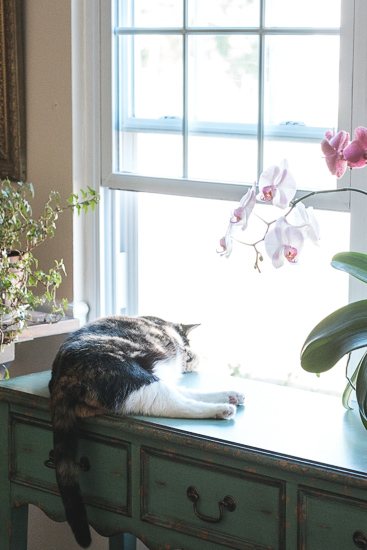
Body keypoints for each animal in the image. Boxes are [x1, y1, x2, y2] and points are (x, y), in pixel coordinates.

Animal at [48, 316, 244, 548]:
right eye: (187, 349)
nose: (188, 354)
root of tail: (63, 378)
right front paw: (194, 360)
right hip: (138, 381)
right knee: (176, 403)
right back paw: (222, 409)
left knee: (182, 393)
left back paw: (229, 396)